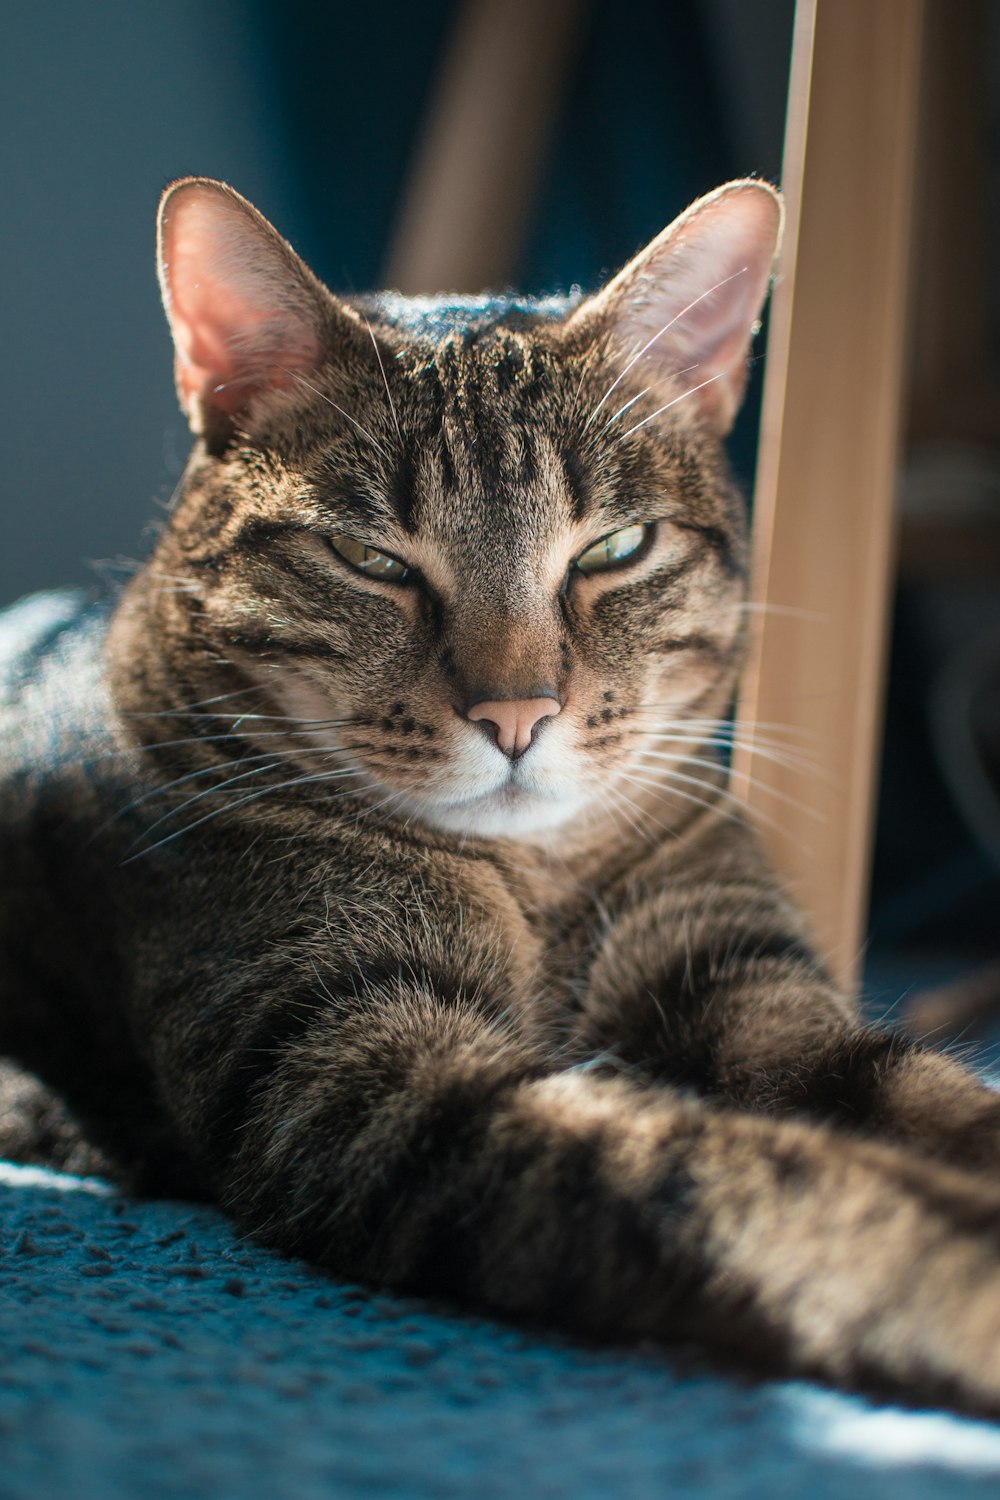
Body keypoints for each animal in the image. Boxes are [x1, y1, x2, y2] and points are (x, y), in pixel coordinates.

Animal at [5, 178, 1000, 1416]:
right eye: (370, 560)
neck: (541, 888)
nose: (518, 715)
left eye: (616, 549)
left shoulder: (740, 978)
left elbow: (920, 1094)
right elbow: (730, 1175)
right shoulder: (358, 1069)